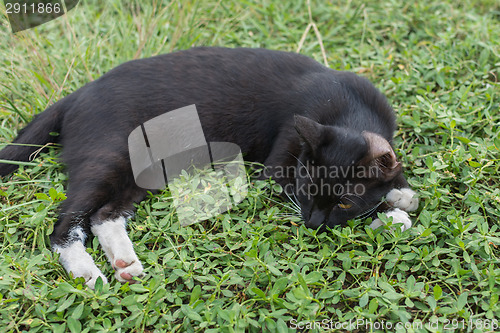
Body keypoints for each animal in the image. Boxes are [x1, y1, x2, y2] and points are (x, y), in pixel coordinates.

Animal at [0, 47, 418, 288]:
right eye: (305, 189)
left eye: (344, 201)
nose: (313, 224)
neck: (349, 108)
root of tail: (74, 96)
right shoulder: (278, 164)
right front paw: (390, 217)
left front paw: (401, 192)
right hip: (110, 153)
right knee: (64, 225)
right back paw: (88, 272)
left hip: (146, 168)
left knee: (104, 214)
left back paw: (125, 262)